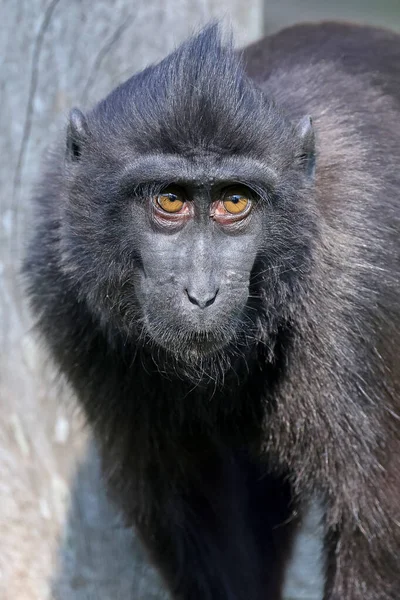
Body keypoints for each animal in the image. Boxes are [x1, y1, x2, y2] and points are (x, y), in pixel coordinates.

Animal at [23, 21, 398, 596]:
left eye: (235, 202)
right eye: (170, 200)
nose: (202, 294)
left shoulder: (358, 284)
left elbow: (374, 522)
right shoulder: (64, 286)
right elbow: (187, 508)